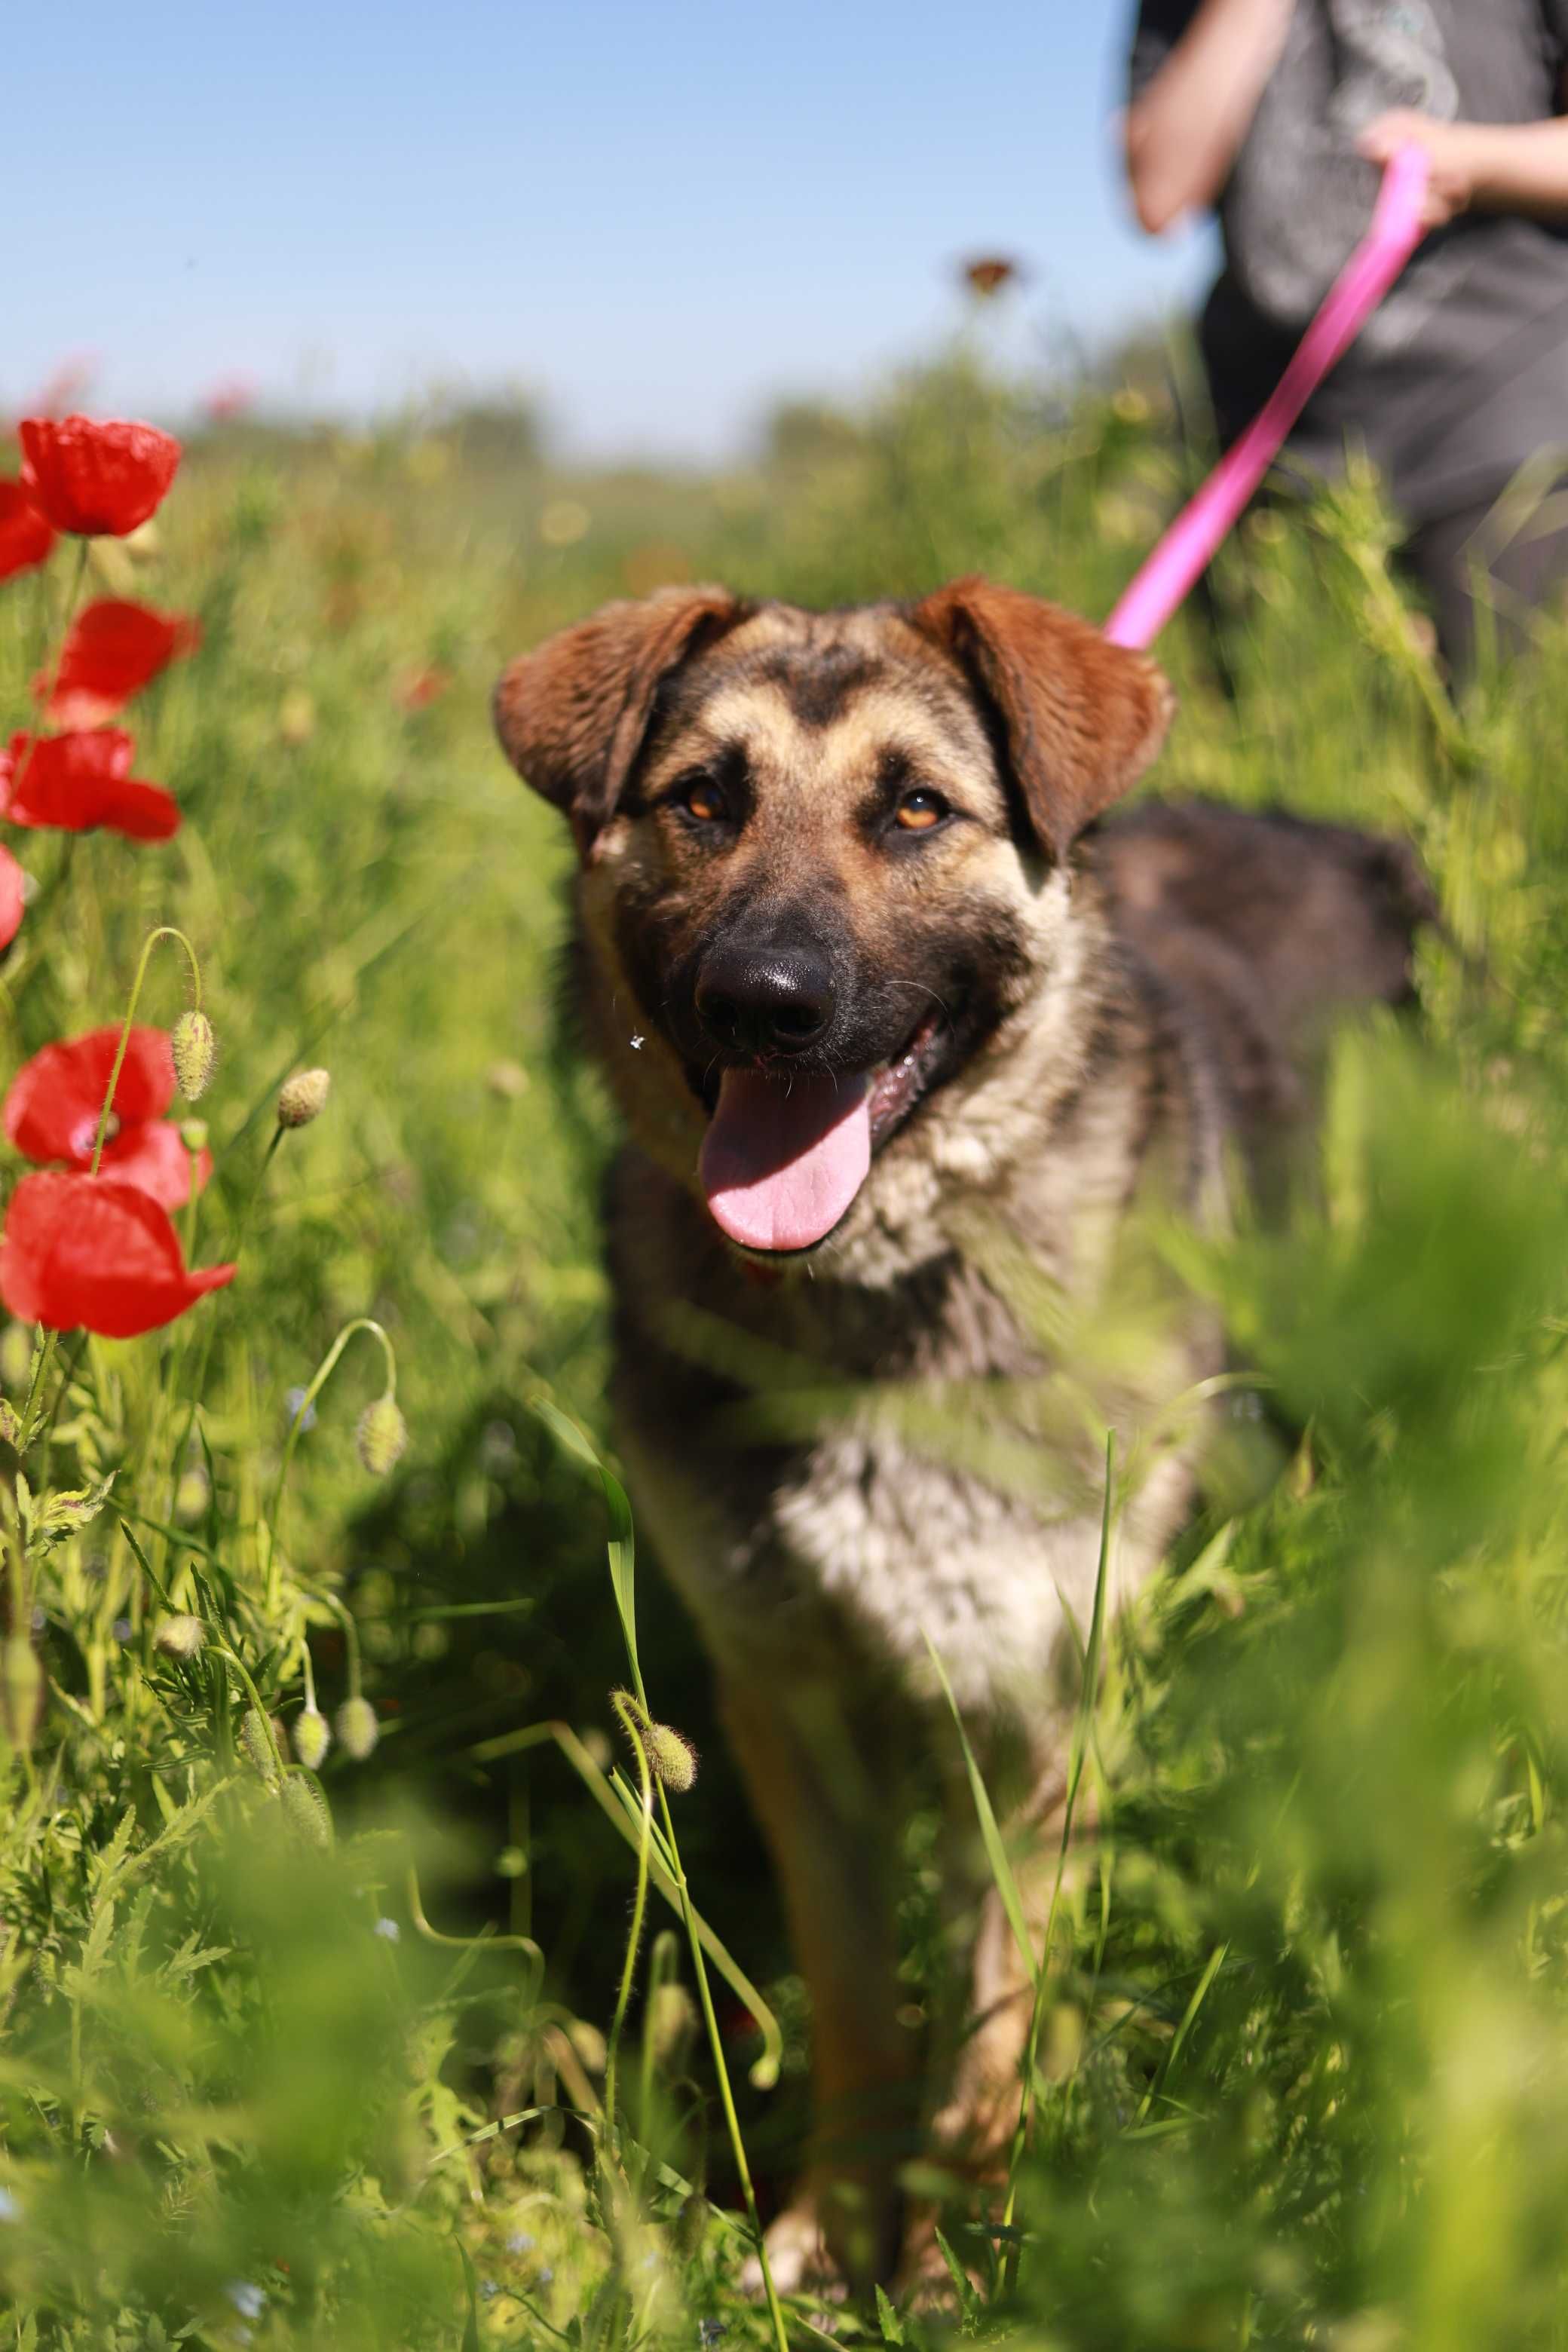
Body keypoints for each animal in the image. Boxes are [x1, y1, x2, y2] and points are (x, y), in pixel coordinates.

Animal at [493, 578, 1438, 2286]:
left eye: (915, 809)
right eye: (702, 801)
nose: (764, 1003)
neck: (875, 1295)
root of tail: (1340, 841)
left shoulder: (1034, 1710)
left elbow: (995, 2013)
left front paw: (956, 2247)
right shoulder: (787, 1701)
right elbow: (862, 1997)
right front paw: (830, 2229)